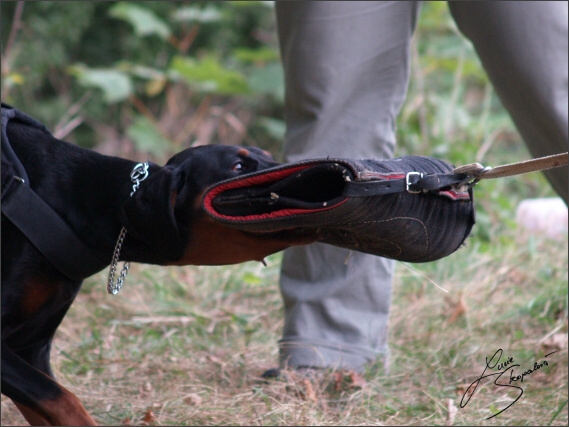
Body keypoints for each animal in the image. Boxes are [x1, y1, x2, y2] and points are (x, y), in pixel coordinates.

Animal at [0, 105, 312, 426]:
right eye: (238, 166)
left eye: (269, 155)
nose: (310, 171)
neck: (83, 201)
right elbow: (64, 401)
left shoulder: (32, 347)